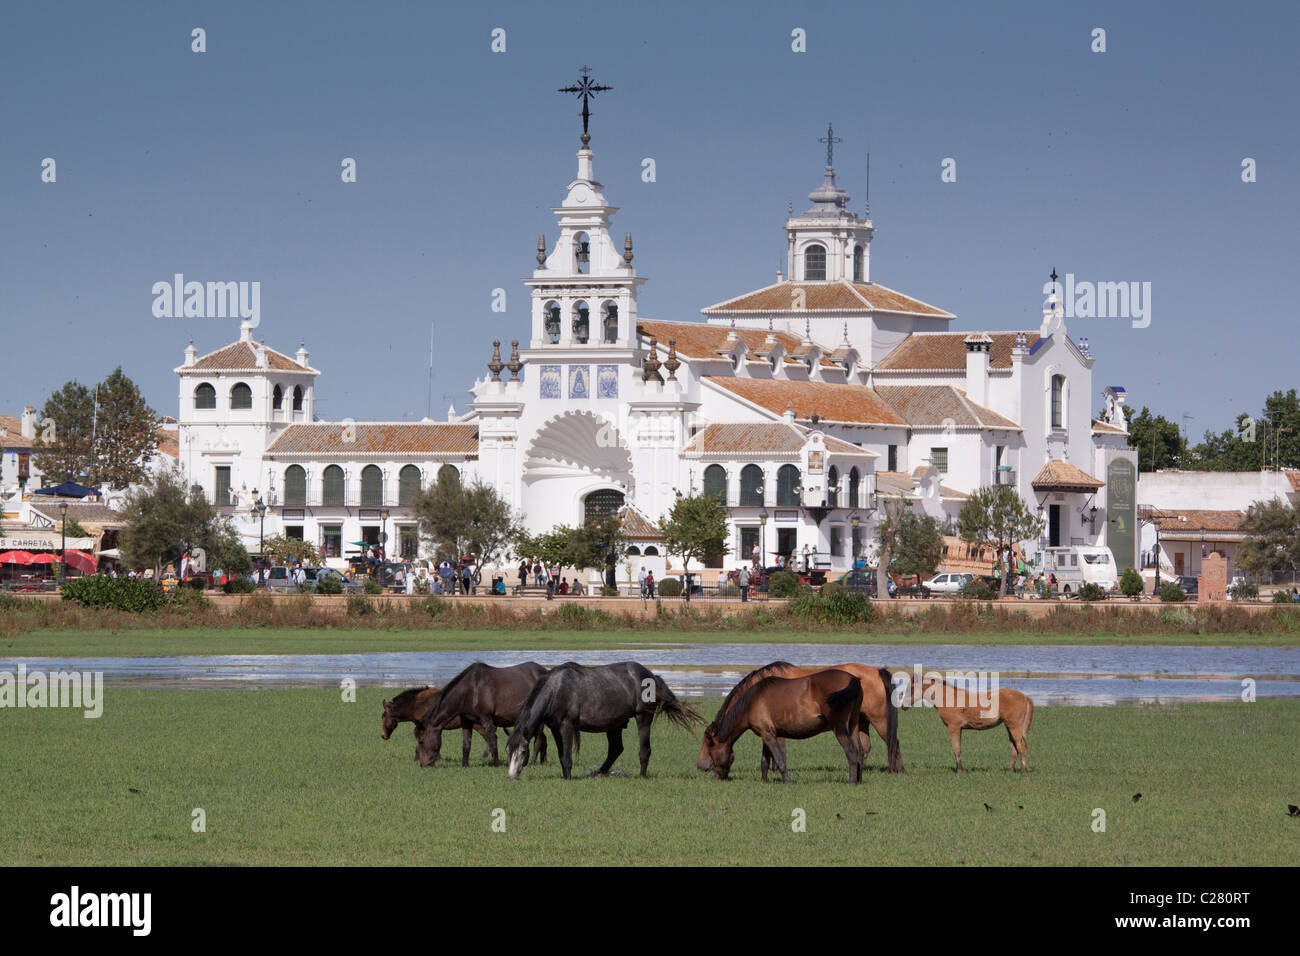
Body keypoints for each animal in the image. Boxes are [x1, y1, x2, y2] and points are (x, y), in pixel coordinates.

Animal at [416, 662, 553, 768]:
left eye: (421, 741)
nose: (424, 764)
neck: (471, 690)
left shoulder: (486, 719)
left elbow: (492, 742)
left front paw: (497, 764)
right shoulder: (466, 721)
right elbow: (466, 744)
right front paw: (465, 765)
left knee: (538, 740)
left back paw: (532, 763)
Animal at [506, 661, 702, 780]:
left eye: (523, 751)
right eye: (508, 751)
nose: (512, 776)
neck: (557, 689)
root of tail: (652, 676)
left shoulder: (567, 726)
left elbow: (567, 756)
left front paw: (568, 778)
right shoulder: (555, 728)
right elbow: (562, 755)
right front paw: (566, 776)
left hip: (643, 717)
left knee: (644, 750)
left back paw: (641, 775)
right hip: (615, 724)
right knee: (616, 749)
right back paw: (599, 773)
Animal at [697, 661, 901, 774]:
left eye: (708, 743)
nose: (701, 766)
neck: (757, 690)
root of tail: (875, 671)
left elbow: (779, 752)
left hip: (879, 720)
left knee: (893, 742)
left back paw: (896, 770)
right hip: (861, 722)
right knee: (865, 747)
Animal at [902, 673, 1034, 772]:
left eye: (911, 688)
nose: (903, 706)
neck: (948, 698)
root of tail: (1025, 697)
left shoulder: (954, 727)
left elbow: (956, 748)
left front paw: (959, 770)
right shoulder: (959, 729)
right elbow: (958, 748)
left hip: (1014, 726)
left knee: (1021, 746)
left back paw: (1023, 770)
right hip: (1009, 726)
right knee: (1014, 748)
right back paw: (1010, 770)